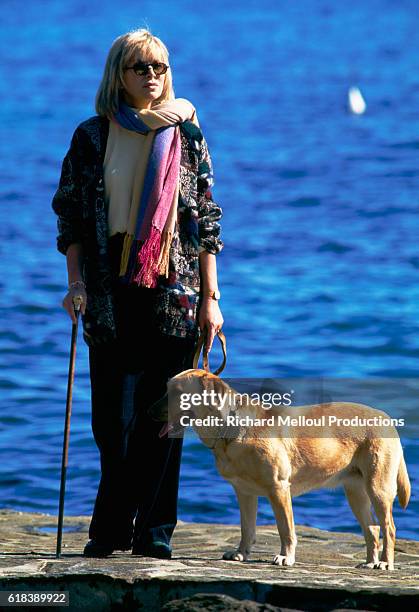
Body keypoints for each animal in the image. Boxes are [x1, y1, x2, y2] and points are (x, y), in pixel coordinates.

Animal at [151, 370, 410, 572]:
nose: (148, 410)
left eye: (177, 391)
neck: (228, 428)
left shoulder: (278, 488)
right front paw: (241, 553)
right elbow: (247, 527)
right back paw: (369, 562)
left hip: (378, 488)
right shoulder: (244, 493)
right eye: (166, 388)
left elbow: (285, 529)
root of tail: (386, 418)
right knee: (372, 528)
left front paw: (286, 557)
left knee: (389, 528)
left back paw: (384, 563)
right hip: (356, 492)